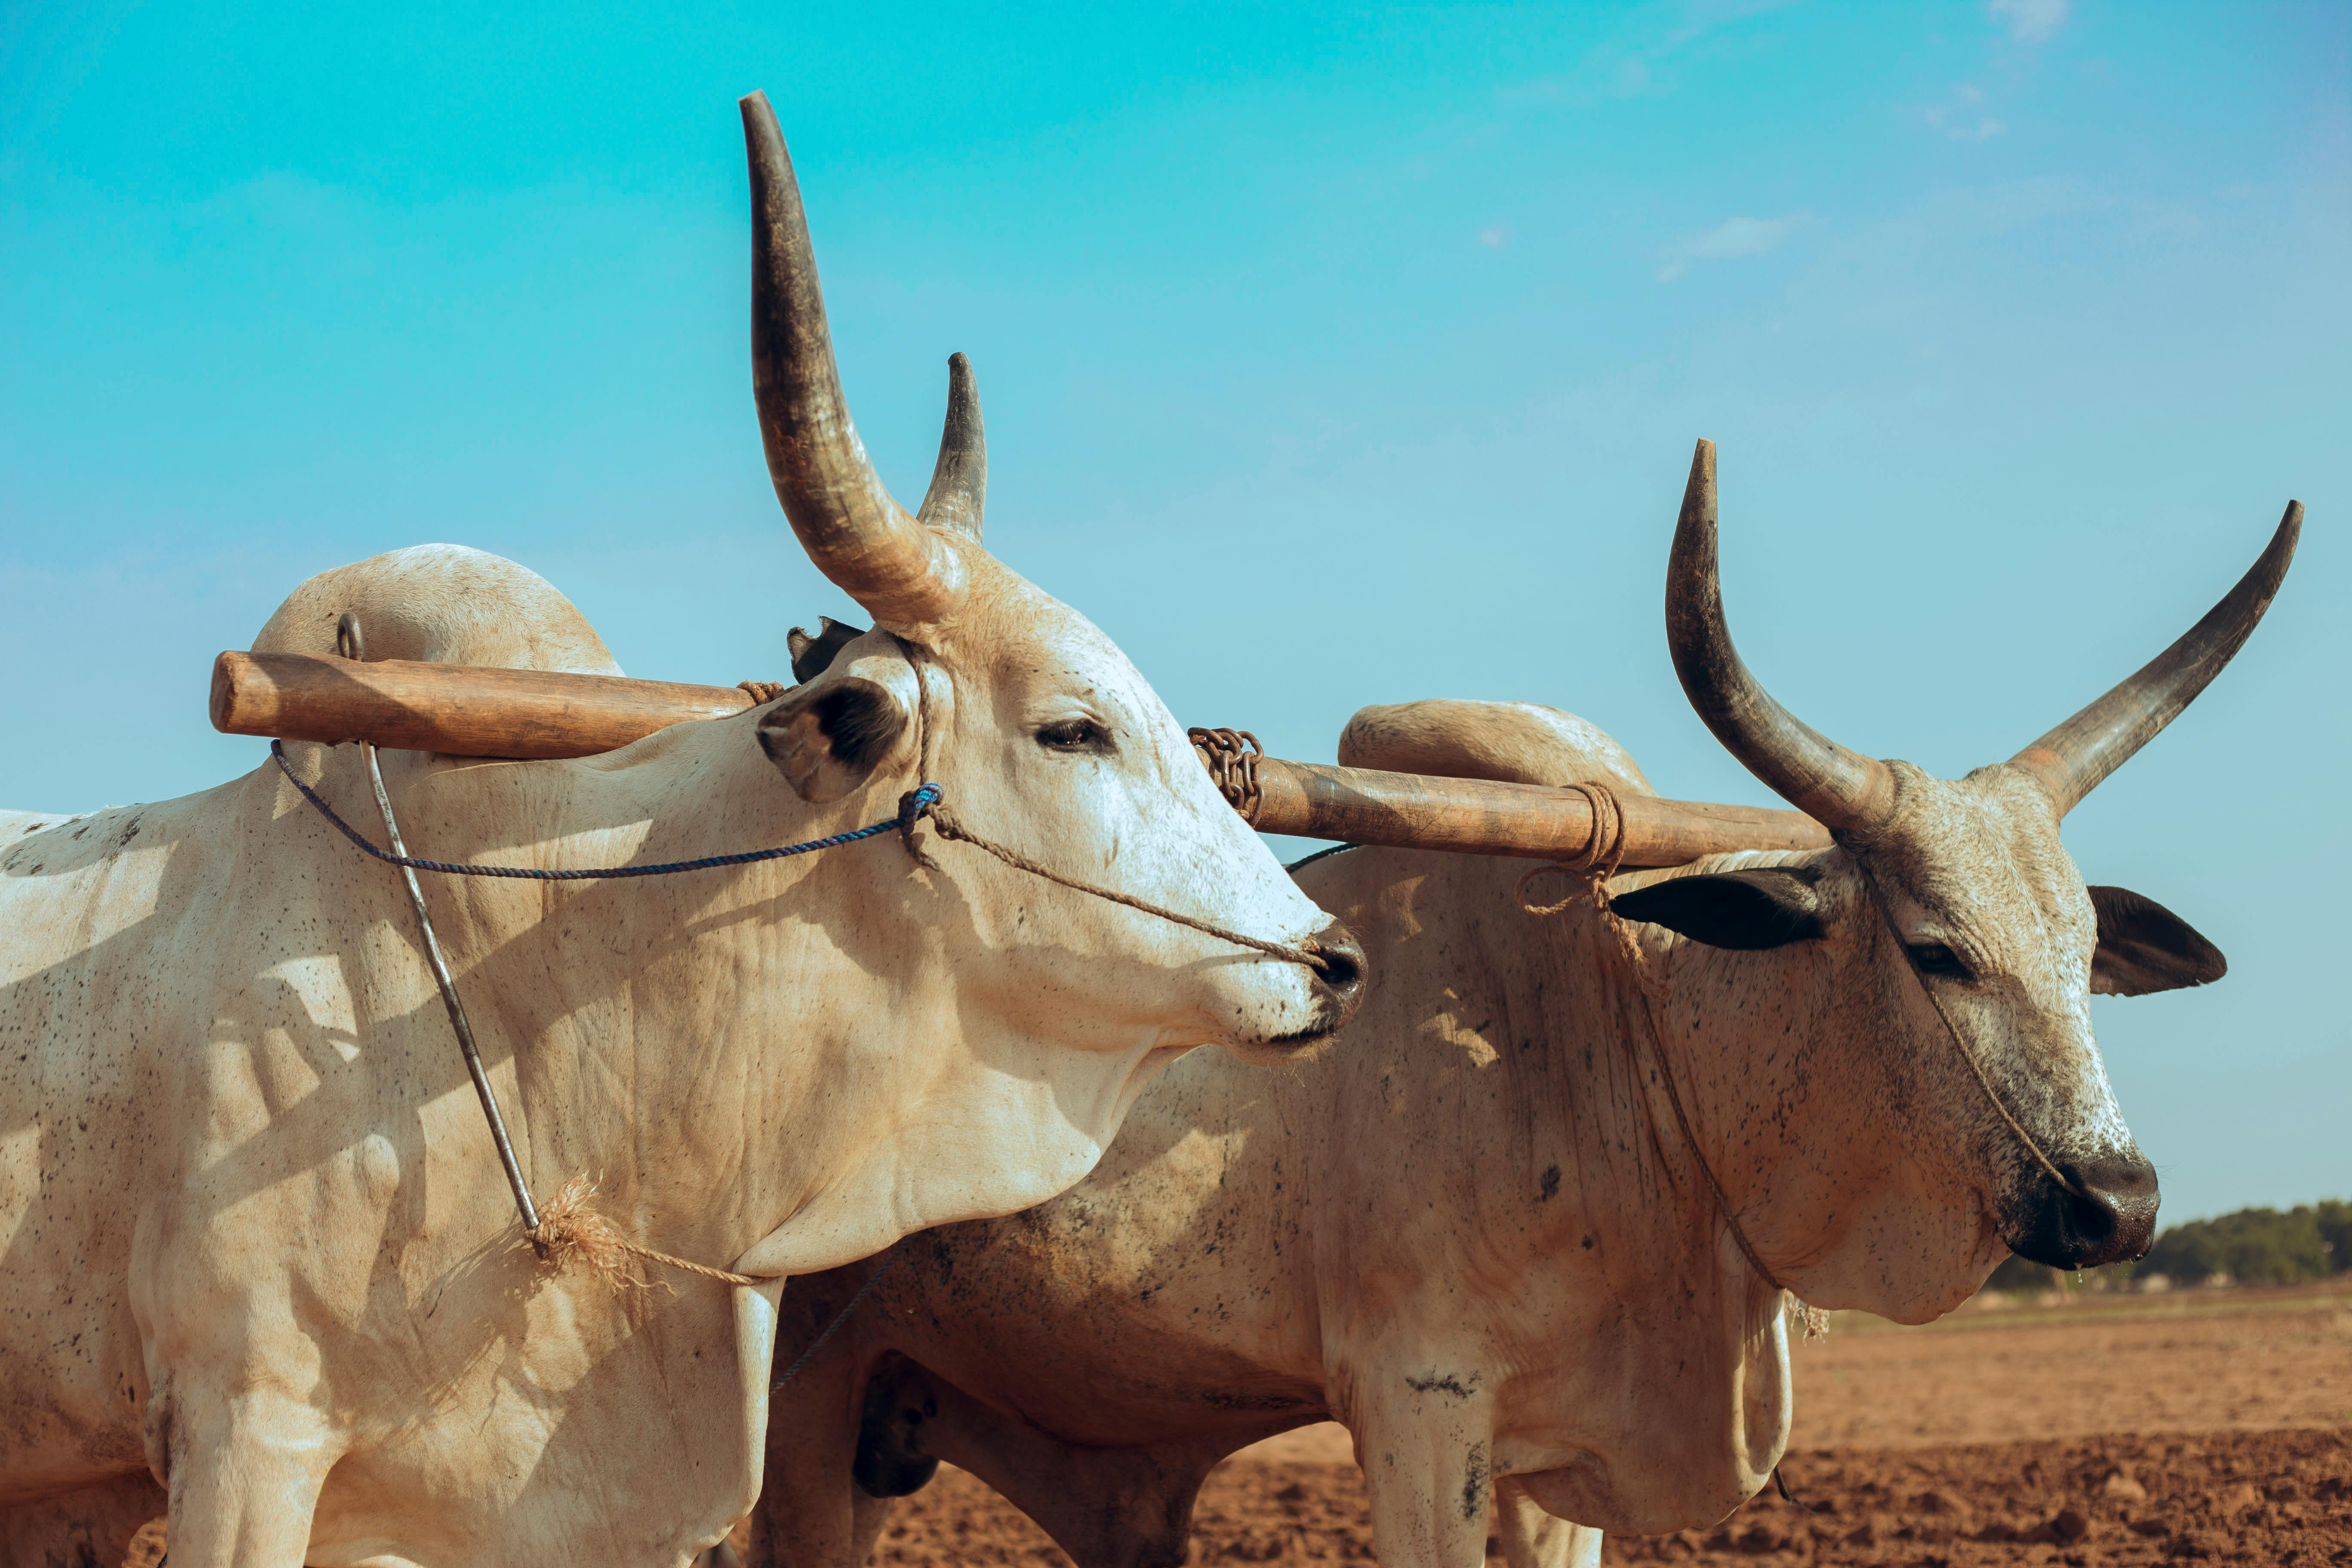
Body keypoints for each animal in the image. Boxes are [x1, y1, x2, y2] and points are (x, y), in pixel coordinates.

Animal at [741, 439, 2295, 1568]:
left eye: (2083, 953)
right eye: (1934, 950)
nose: (2116, 1202)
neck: (1629, 1039)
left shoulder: (1558, 1461)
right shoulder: (1421, 1409)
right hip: (792, 1406)